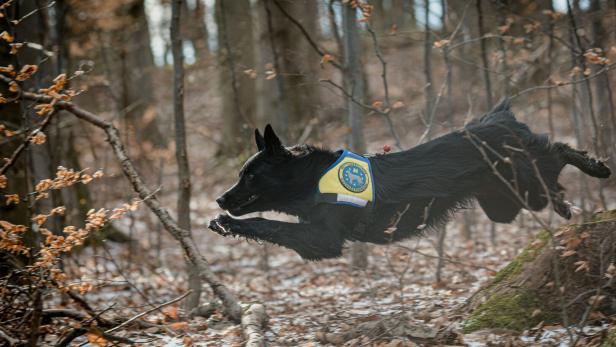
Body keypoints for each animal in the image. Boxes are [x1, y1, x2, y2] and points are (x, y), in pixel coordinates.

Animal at [208, 99, 612, 260]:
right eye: (240, 174)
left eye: (251, 175)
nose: (220, 199)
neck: (311, 178)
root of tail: (501, 116)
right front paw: (222, 221)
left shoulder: (323, 238)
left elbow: (267, 223)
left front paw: (227, 222)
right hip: (503, 203)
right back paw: (567, 200)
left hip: (525, 183)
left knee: (556, 149)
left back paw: (596, 168)